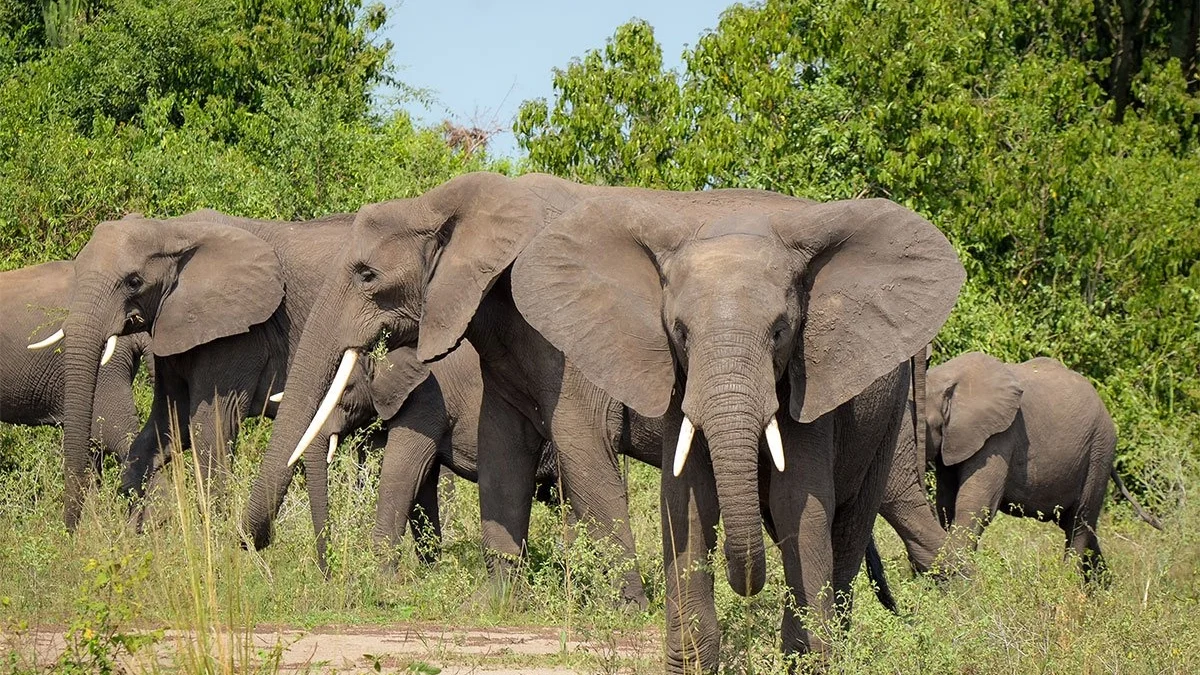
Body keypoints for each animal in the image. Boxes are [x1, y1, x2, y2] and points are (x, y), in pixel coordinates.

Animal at [57, 209, 354, 530]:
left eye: (133, 281)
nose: (72, 532)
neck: (173, 230)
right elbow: (166, 426)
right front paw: (136, 535)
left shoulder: (236, 335)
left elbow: (210, 430)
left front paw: (217, 536)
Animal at [243, 172, 667, 611]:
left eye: (367, 275)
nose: (252, 543)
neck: (433, 204)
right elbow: (460, 469)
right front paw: (472, 596)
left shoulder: (434, 394)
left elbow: (403, 471)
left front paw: (383, 586)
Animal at [510, 191, 963, 669]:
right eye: (680, 332)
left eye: (780, 331)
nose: (745, 587)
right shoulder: (678, 381)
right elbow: (688, 501)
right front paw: (691, 666)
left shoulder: (809, 383)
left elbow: (797, 503)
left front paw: (805, 663)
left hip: (887, 415)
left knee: (850, 524)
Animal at [870, 351, 1162, 586]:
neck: (946, 380)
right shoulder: (954, 441)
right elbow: (947, 505)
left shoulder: (1000, 435)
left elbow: (974, 504)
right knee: (1083, 529)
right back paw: (1101, 592)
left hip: (1099, 451)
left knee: (1080, 523)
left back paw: (1068, 588)